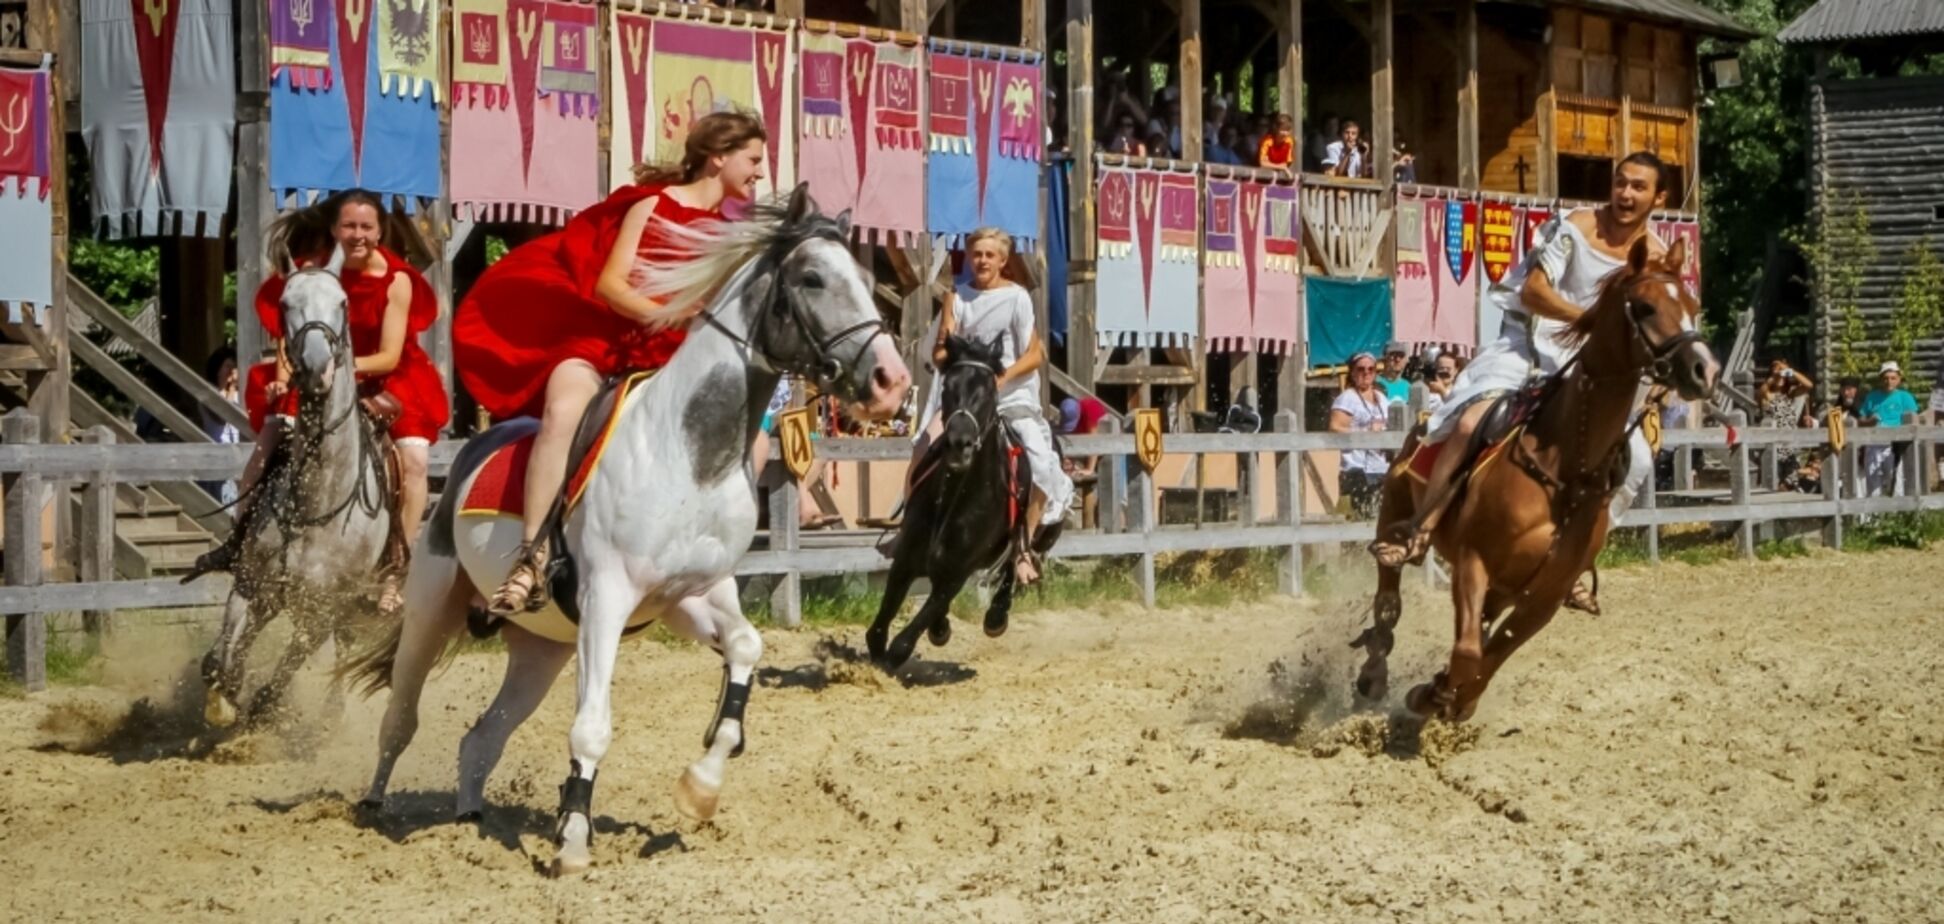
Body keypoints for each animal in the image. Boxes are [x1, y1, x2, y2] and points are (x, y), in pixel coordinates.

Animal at [199, 248, 396, 727]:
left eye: (342, 302)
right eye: (286, 303)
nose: (314, 368)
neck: (315, 503)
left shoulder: (322, 613)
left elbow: (279, 678)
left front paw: (256, 710)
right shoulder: (251, 585)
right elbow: (228, 652)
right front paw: (222, 695)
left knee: (342, 649)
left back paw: (331, 712)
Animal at [344, 186, 909, 875]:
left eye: (866, 280)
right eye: (811, 278)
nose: (891, 382)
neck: (690, 452)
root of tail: (473, 448)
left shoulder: (692, 595)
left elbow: (746, 650)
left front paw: (702, 785)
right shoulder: (609, 598)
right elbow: (592, 728)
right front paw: (571, 841)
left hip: (543, 648)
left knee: (481, 737)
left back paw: (471, 821)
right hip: (433, 605)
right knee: (400, 714)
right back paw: (374, 809)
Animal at [870, 336, 1073, 669]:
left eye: (988, 391)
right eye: (948, 388)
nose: (959, 444)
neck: (955, 497)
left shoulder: (958, 571)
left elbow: (903, 643)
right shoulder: (906, 561)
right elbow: (878, 630)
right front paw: (937, 628)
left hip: (1040, 535)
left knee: (1014, 564)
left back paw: (996, 616)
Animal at [1353, 237, 1718, 723]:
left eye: (1692, 305)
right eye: (1644, 306)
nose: (1704, 370)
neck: (1565, 467)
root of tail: (1424, 418)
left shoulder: (1541, 596)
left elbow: (1485, 661)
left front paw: (1447, 695)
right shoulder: (1474, 562)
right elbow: (1468, 653)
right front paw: (1430, 695)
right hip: (1396, 511)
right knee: (1388, 601)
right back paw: (1374, 670)